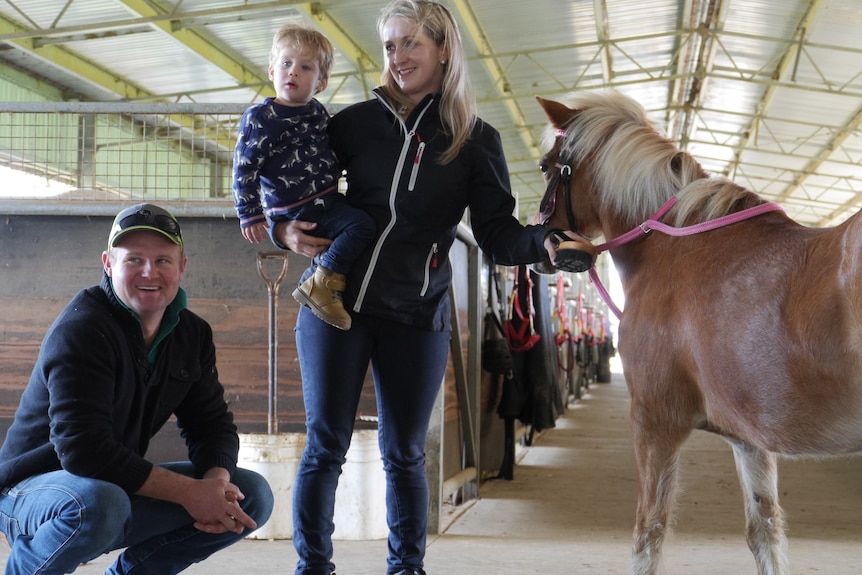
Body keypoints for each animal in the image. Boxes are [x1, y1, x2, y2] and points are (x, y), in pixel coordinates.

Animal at [536, 91, 862, 575]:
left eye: (546, 166)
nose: (545, 249)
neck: (671, 247)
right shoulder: (749, 437)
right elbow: (765, 531)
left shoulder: (654, 420)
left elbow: (649, 533)